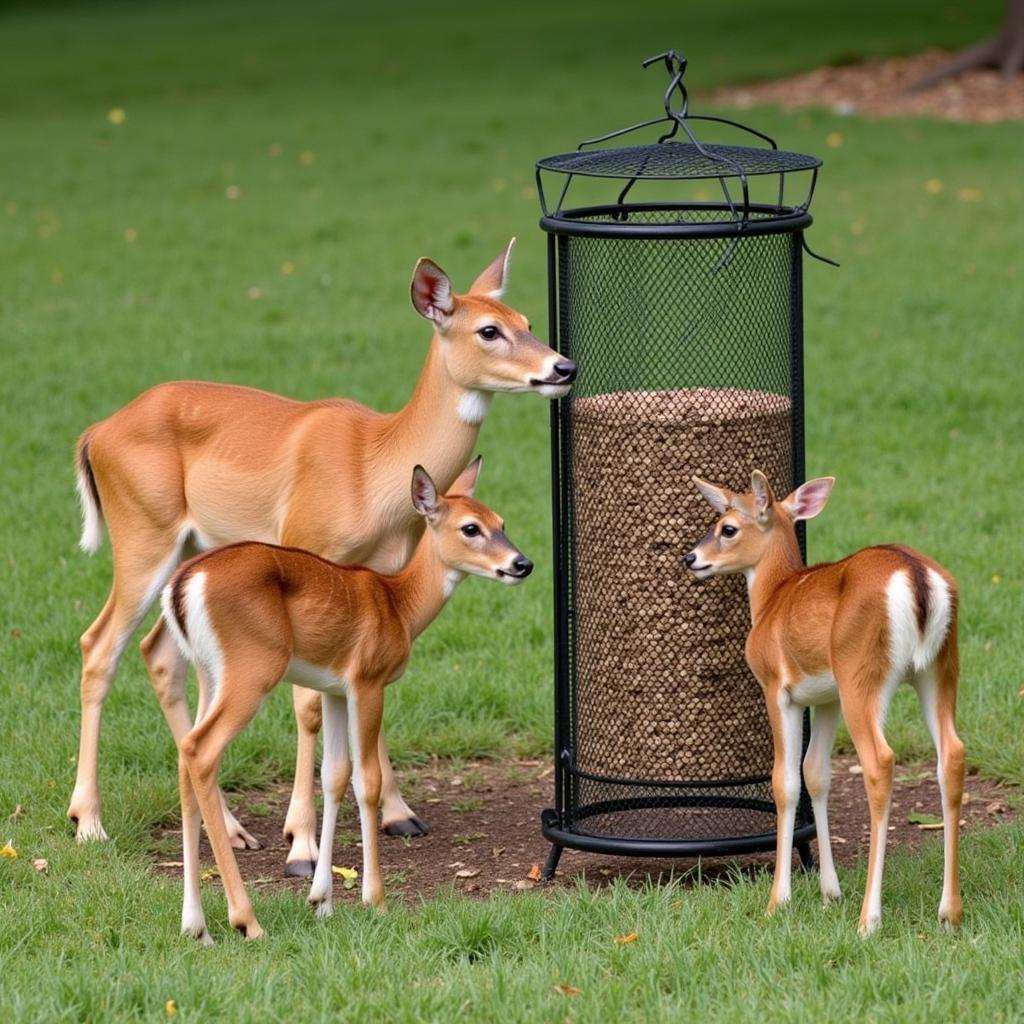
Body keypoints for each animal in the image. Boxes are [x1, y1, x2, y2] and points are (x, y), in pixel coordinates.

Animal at [163, 460, 532, 937]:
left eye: (501, 522)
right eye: (471, 527)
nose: (522, 564)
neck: (399, 607)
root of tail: (181, 586)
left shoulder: (334, 689)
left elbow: (334, 776)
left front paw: (321, 900)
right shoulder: (367, 681)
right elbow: (367, 781)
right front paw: (375, 899)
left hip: (211, 674)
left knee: (183, 755)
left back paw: (196, 926)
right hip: (252, 670)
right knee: (200, 749)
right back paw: (247, 922)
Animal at [684, 471, 962, 937]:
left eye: (728, 527)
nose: (691, 558)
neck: (772, 599)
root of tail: (918, 578)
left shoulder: (778, 688)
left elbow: (786, 782)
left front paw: (778, 901)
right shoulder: (825, 696)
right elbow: (816, 773)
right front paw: (830, 892)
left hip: (862, 674)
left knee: (880, 761)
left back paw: (869, 919)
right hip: (940, 668)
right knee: (953, 755)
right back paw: (949, 912)